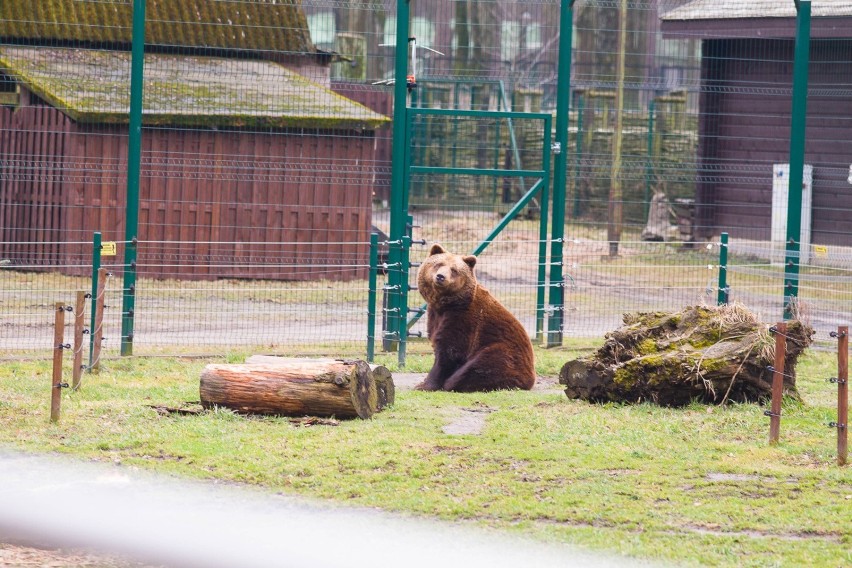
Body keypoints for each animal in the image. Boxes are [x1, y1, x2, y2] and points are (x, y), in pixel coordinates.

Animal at [412, 242, 532, 392]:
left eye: (454, 270)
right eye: (438, 264)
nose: (440, 277)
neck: (446, 304)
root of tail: (531, 379)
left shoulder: (463, 318)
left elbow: (449, 350)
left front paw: (425, 385)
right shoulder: (434, 316)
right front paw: (422, 383)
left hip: (505, 351)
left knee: (484, 365)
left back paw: (453, 382)